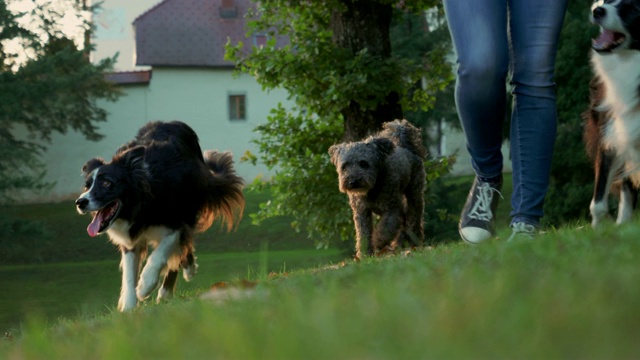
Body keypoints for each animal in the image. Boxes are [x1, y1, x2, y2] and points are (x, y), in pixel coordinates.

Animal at [330, 119, 424, 258]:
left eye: (364, 163)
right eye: (344, 166)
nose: (353, 181)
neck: (372, 189)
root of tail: (406, 147)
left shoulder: (392, 210)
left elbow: (384, 229)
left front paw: (377, 242)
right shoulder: (361, 213)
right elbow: (363, 234)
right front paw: (365, 254)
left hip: (414, 194)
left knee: (413, 217)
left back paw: (412, 241)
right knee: (404, 218)